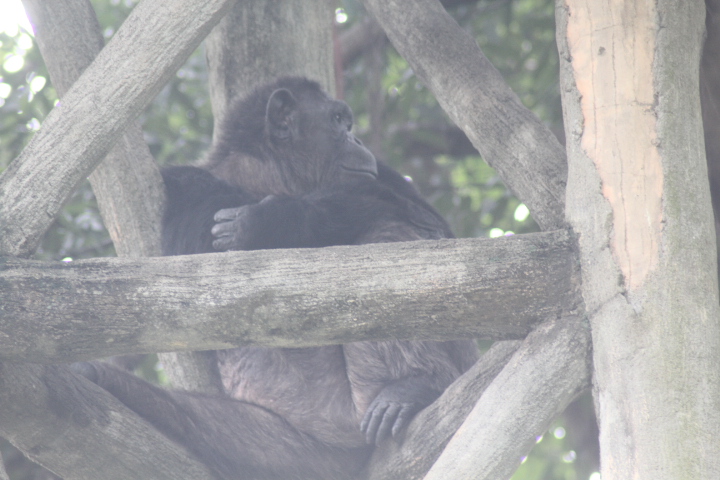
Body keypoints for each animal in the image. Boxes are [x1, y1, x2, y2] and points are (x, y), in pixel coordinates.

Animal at [73, 77, 478, 480]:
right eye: (337, 121)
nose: (358, 139)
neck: (269, 175)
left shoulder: (384, 172)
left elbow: (432, 228)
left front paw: (272, 220)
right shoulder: (183, 185)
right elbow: (196, 277)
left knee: (387, 234)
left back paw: (414, 387)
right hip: (287, 447)